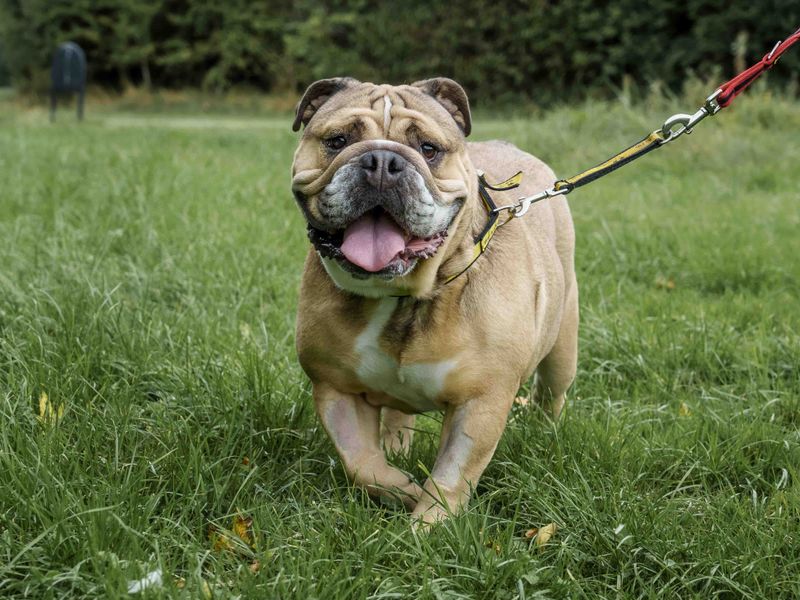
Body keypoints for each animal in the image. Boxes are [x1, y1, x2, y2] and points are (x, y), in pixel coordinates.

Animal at [290, 78, 580, 524]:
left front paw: (426, 527)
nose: (381, 161)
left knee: (552, 395)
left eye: (428, 149)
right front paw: (404, 490)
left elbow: (451, 478)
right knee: (396, 418)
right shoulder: (335, 388)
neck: (399, 294)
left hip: (562, 350)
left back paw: (544, 436)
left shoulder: (479, 404)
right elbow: (361, 463)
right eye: (338, 141)